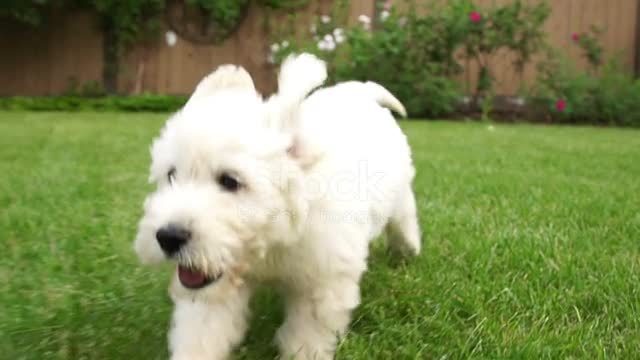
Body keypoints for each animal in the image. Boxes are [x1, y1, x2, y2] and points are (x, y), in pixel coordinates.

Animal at [135, 53, 420, 360]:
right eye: (171, 175)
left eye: (230, 181)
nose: (168, 237)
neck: (273, 239)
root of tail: (360, 91)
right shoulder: (210, 288)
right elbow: (202, 331)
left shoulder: (321, 281)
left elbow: (307, 334)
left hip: (400, 195)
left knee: (404, 220)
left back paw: (408, 248)